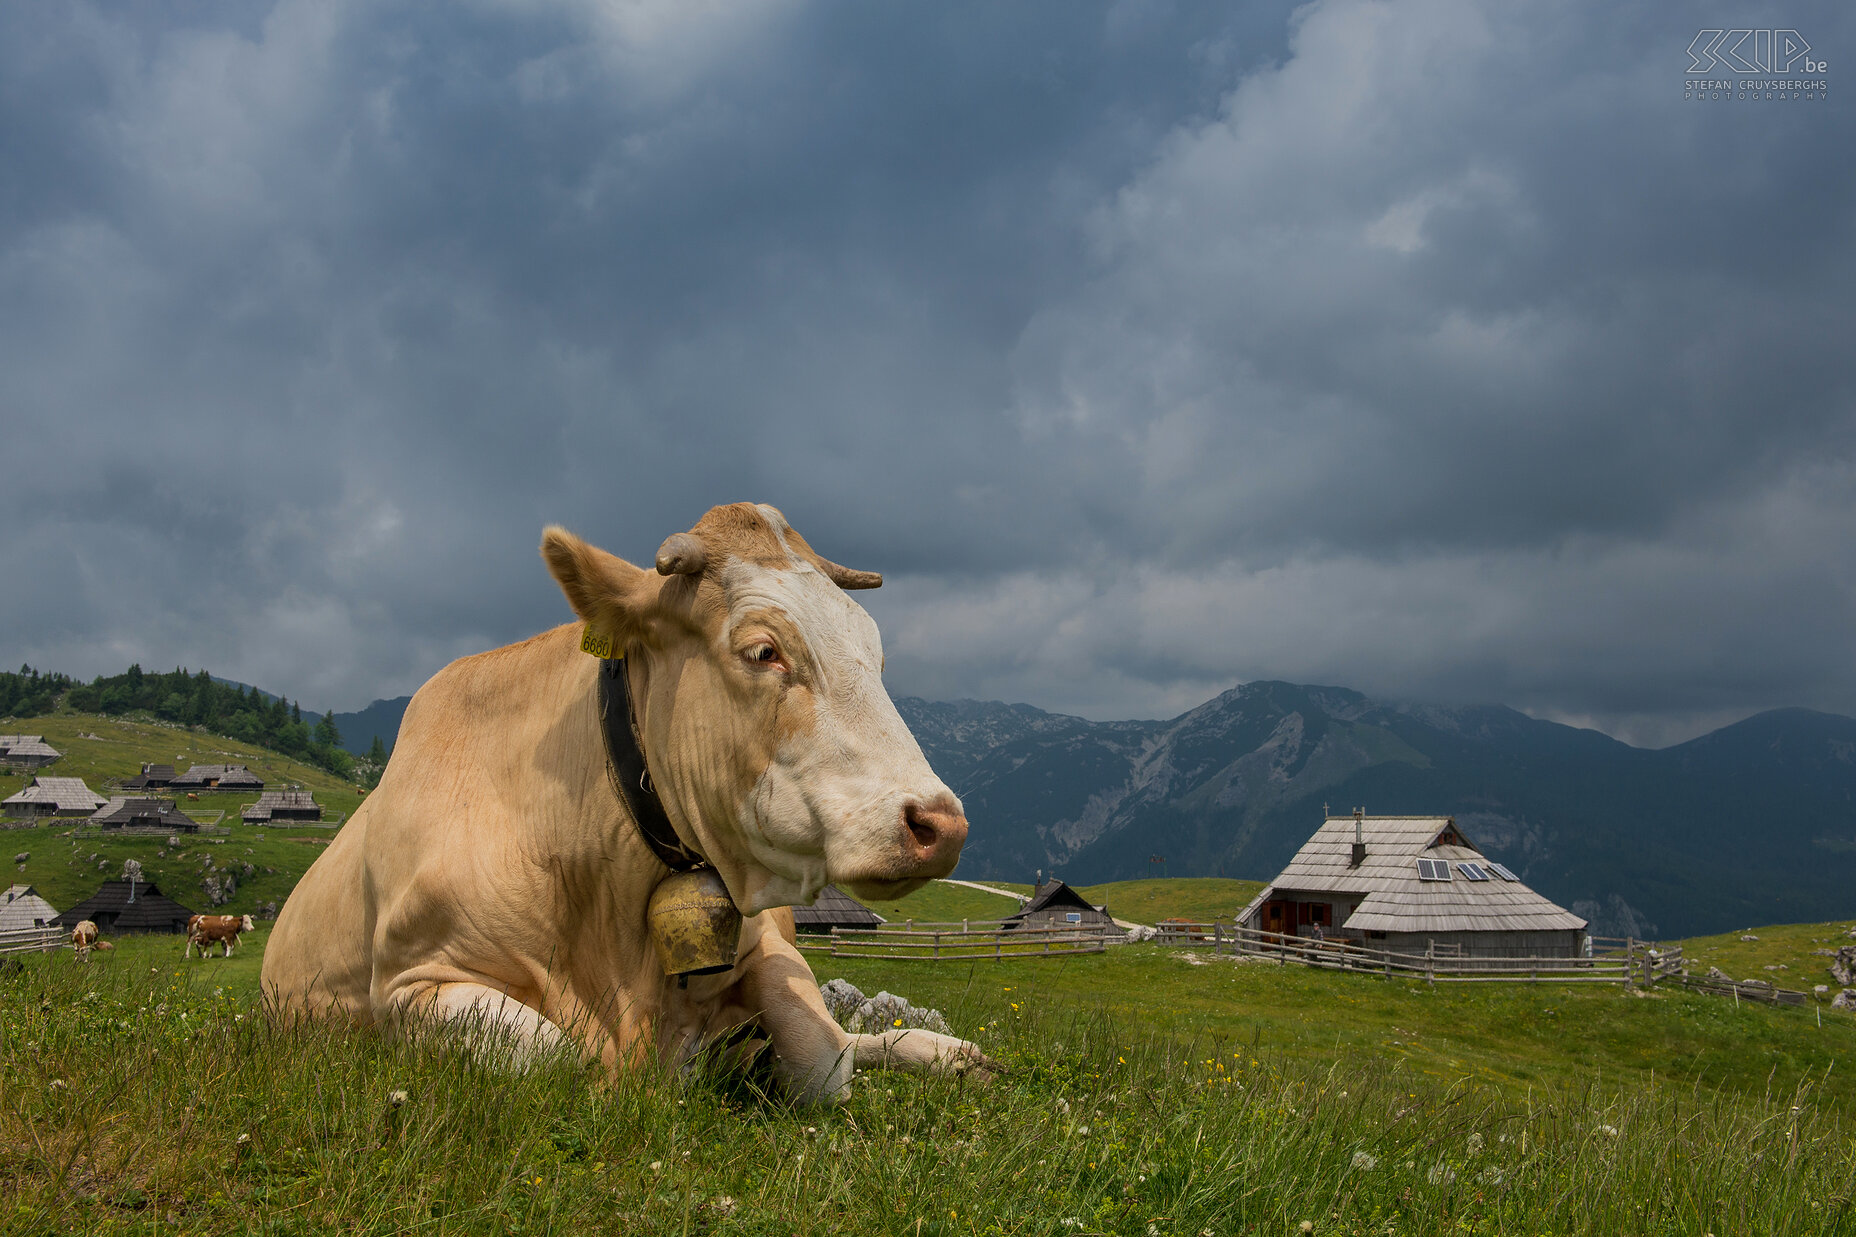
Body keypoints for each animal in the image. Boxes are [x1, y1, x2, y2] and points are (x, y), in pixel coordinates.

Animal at [269, 501, 994, 1099]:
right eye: (763, 650)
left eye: (875, 654)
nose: (942, 825)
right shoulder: (408, 983)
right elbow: (560, 1059)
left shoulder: (768, 945)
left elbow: (826, 1061)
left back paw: (946, 1052)